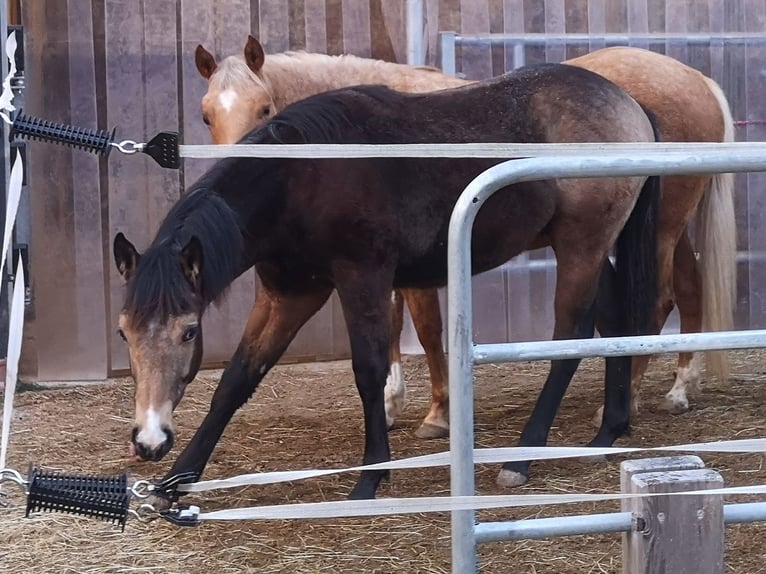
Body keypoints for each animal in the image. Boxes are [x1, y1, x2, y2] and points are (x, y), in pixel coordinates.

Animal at [113, 63, 660, 498]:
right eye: (124, 332)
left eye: (188, 331)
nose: (149, 441)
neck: (300, 177)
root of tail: (629, 103)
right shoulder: (290, 292)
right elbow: (238, 377)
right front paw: (180, 478)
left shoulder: (363, 279)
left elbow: (369, 371)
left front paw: (372, 476)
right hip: (588, 249)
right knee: (614, 324)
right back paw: (609, 431)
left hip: (581, 246)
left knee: (570, 337)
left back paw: (522, 457)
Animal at [195, 37, 736, 435]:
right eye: (206, 114)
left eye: (265, 108)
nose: (230, 180)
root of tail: (698, 80)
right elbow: (393, 325)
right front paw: (391, 403)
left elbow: (425, 329)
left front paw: (438, 413)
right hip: (666, 227)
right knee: (687, 290)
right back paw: (679, 387)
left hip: (657, 228)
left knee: (656, 299)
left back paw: (631, 400)